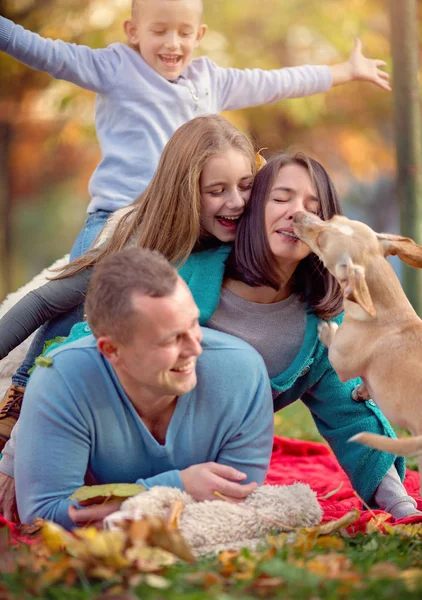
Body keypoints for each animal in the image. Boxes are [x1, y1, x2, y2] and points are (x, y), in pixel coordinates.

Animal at [292, 211, 422, 488]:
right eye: (333, 217)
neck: (388, 311)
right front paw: (362, 393)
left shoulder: (340, 362)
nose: (297, 214)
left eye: (321, 238)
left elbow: (332, 343)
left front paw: (327, 329)